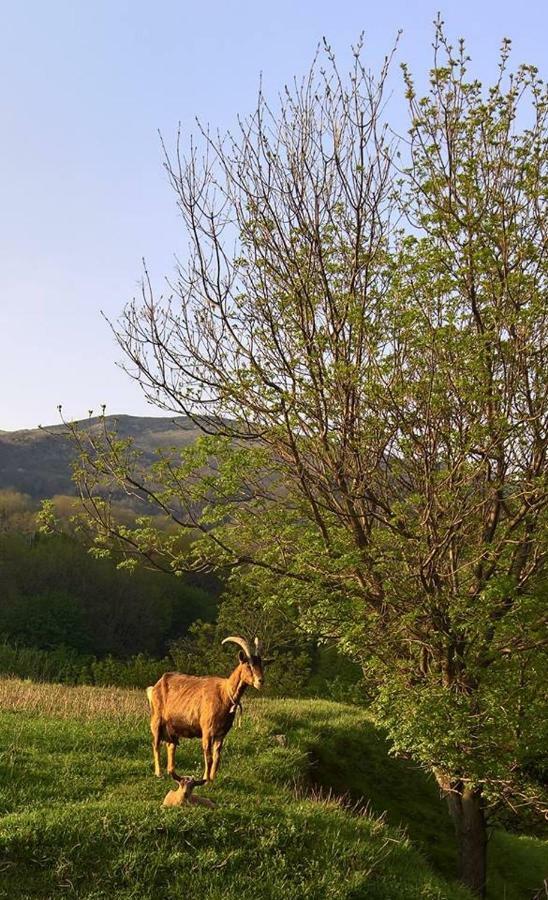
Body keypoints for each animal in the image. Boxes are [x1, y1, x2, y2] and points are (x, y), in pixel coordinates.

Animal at [147, 632, 264, 780]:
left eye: (262, 664)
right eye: (248, 665)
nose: (260, 681)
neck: (225, 694)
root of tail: (155, 687)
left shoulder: (221, 733)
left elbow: (217, 757)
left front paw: (213, 779)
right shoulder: (207, 729)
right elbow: (208, 757)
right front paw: (205, 779)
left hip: (173, 726)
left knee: (171, 745)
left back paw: (171, 771)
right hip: (156, 719)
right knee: (155, 744)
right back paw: (159, 773)